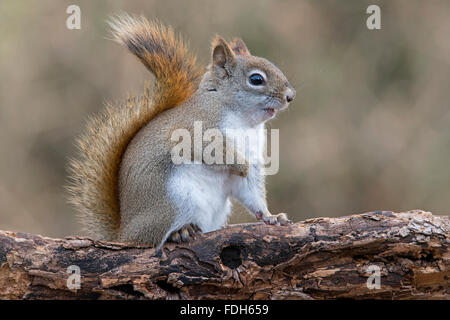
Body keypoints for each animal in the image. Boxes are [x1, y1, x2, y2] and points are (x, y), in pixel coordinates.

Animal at [67, 13, 296, 249]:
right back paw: (179, 232)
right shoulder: (196, 132)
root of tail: (124, 234)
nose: (290, 96)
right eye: (256, 79)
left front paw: (271, 217)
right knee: (154, 237)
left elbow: (251, 192)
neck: (244, 120)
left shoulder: (252, 155)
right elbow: (216, 153)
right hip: (172, 202)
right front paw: (241, 166)